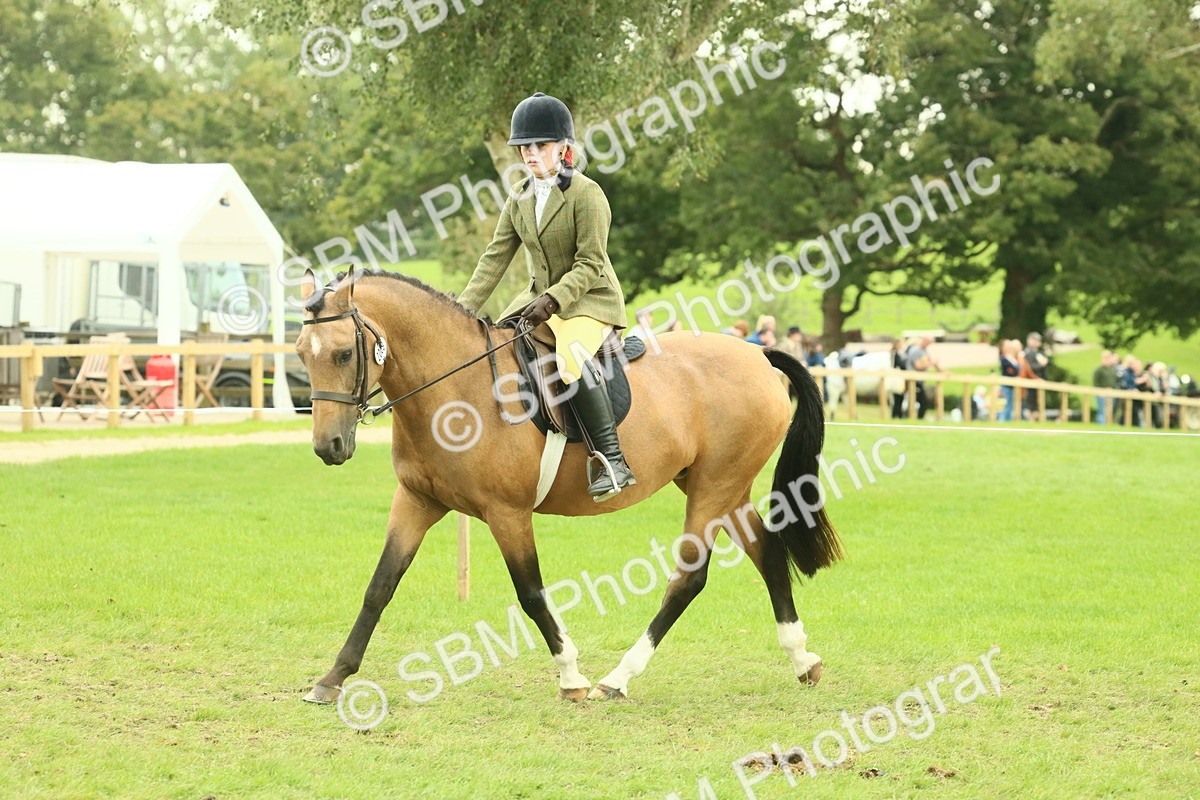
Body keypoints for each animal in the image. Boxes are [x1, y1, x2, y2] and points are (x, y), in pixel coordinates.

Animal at [295, 267, 842, 704]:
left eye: (342, 354)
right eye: (301, 353)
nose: (329, 446)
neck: (454, 391)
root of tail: (760, 357)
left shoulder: (507, 513)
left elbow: (531, 593)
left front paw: (571, 676)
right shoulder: (417, 501)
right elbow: (380, 586)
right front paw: (333, 678)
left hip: (714, 488)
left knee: (689, 578)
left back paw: (618, 678)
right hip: (722, 487)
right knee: (766, 552)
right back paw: (803, 659)